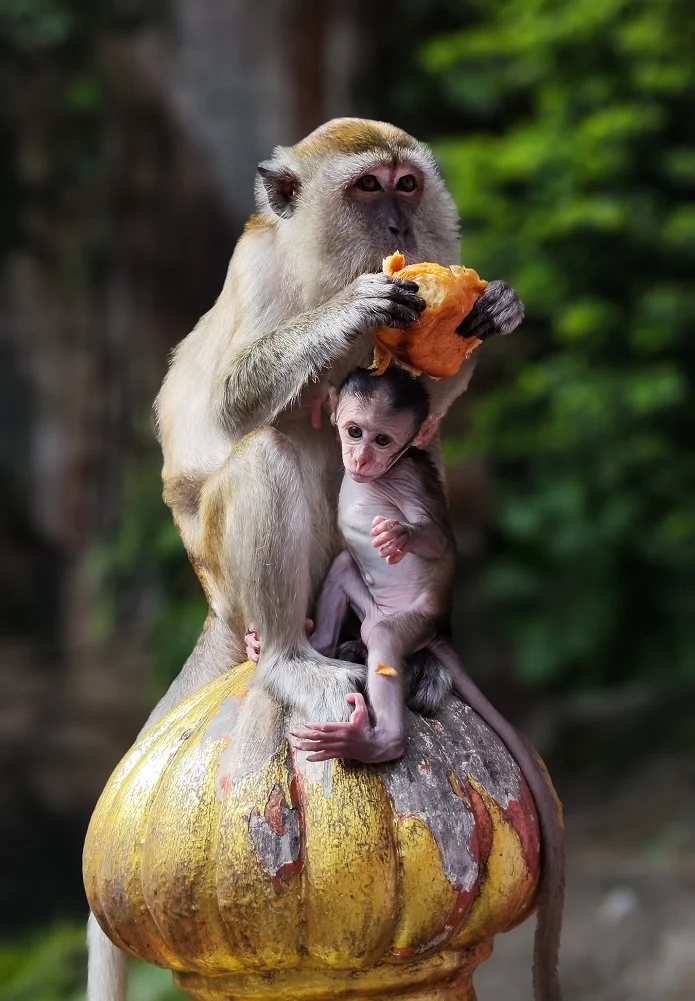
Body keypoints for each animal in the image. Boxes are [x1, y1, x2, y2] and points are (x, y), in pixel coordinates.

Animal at [87, 119, 524, 1001]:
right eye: (366, 188)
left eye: (405, 185)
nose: (397, 226)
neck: (318, 265)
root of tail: (218, 607)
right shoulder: (254, 268)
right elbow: (232, 404)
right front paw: (354, 309)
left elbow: (423, 402)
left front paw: (492, 308)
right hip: (232, 573)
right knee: (269, 447)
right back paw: (291, 656)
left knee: (416, 452)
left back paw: (416, 647)